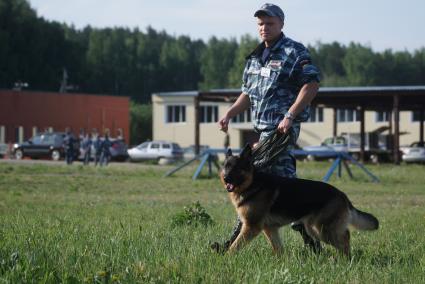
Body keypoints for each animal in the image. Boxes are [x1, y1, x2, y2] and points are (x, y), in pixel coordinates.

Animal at [220, 144, 380, 258]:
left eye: (237, 168)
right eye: (226, 167)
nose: (226, 178)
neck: (252, 183)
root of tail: (342, 195)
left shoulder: (251, 227)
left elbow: (235, 245)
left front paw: (227, 258)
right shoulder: (269, 228)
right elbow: (277, 247)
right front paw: (281, 262)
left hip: (321, 229)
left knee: (345, 237)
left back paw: (345, 259)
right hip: (314, 228)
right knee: (344, 234)